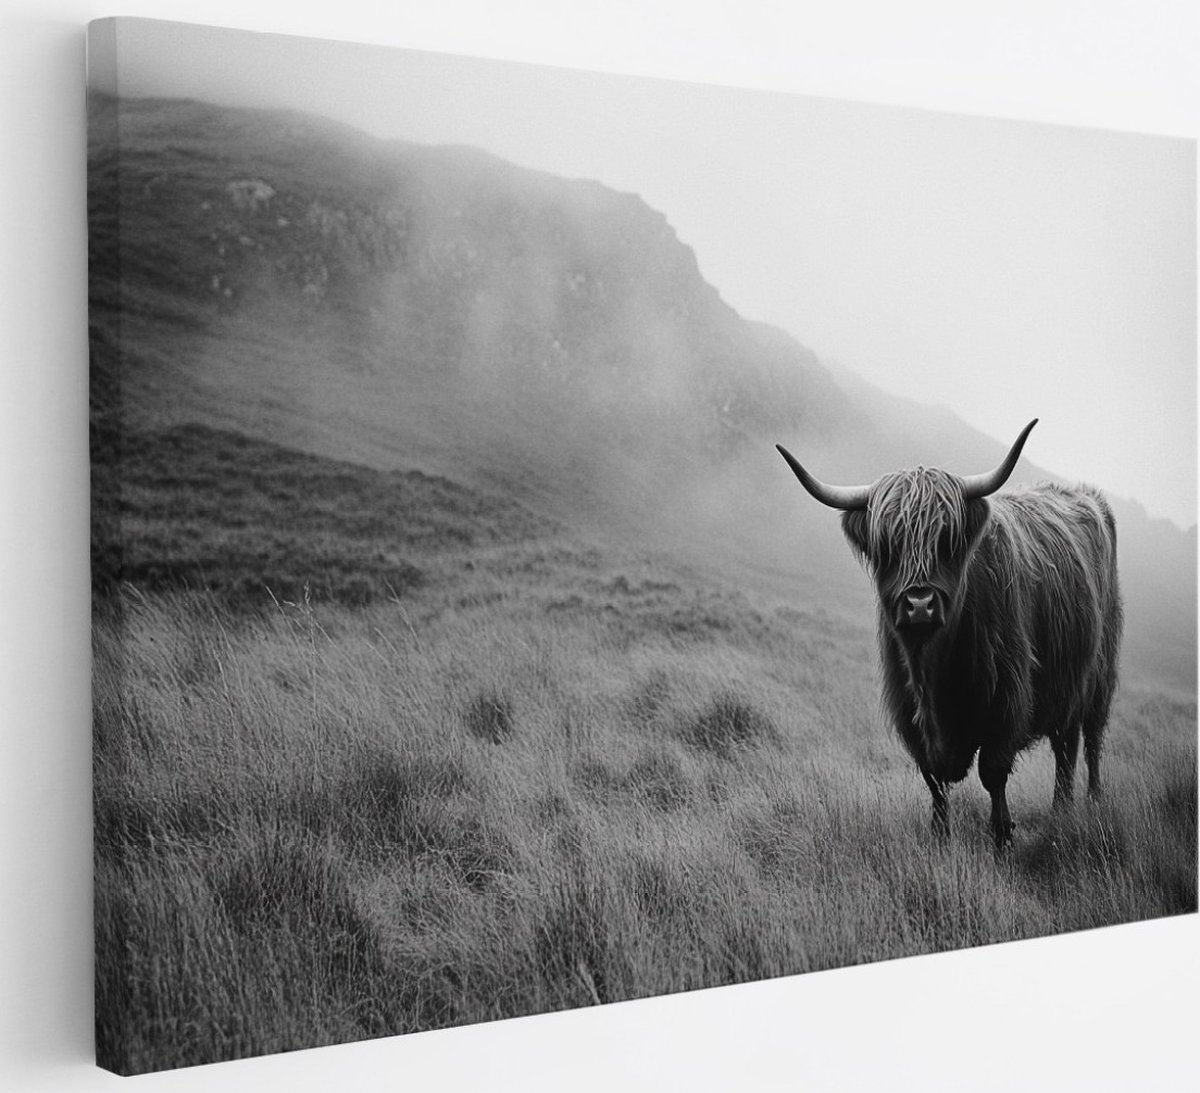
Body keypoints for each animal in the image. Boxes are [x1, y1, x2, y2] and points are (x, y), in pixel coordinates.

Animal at [776, 420, 1122, 848]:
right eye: (888, 546)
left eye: (947, 540)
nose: (919, 604)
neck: (934, 670)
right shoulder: (911, 714)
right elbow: (934, 782)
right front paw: (940, 837)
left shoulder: (1006, 702)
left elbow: (993, 774)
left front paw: (1002, 837)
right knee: (1066, 744)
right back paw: (1063, 809)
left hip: (1099, 679)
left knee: (1086, 743)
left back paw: (1086, 805)